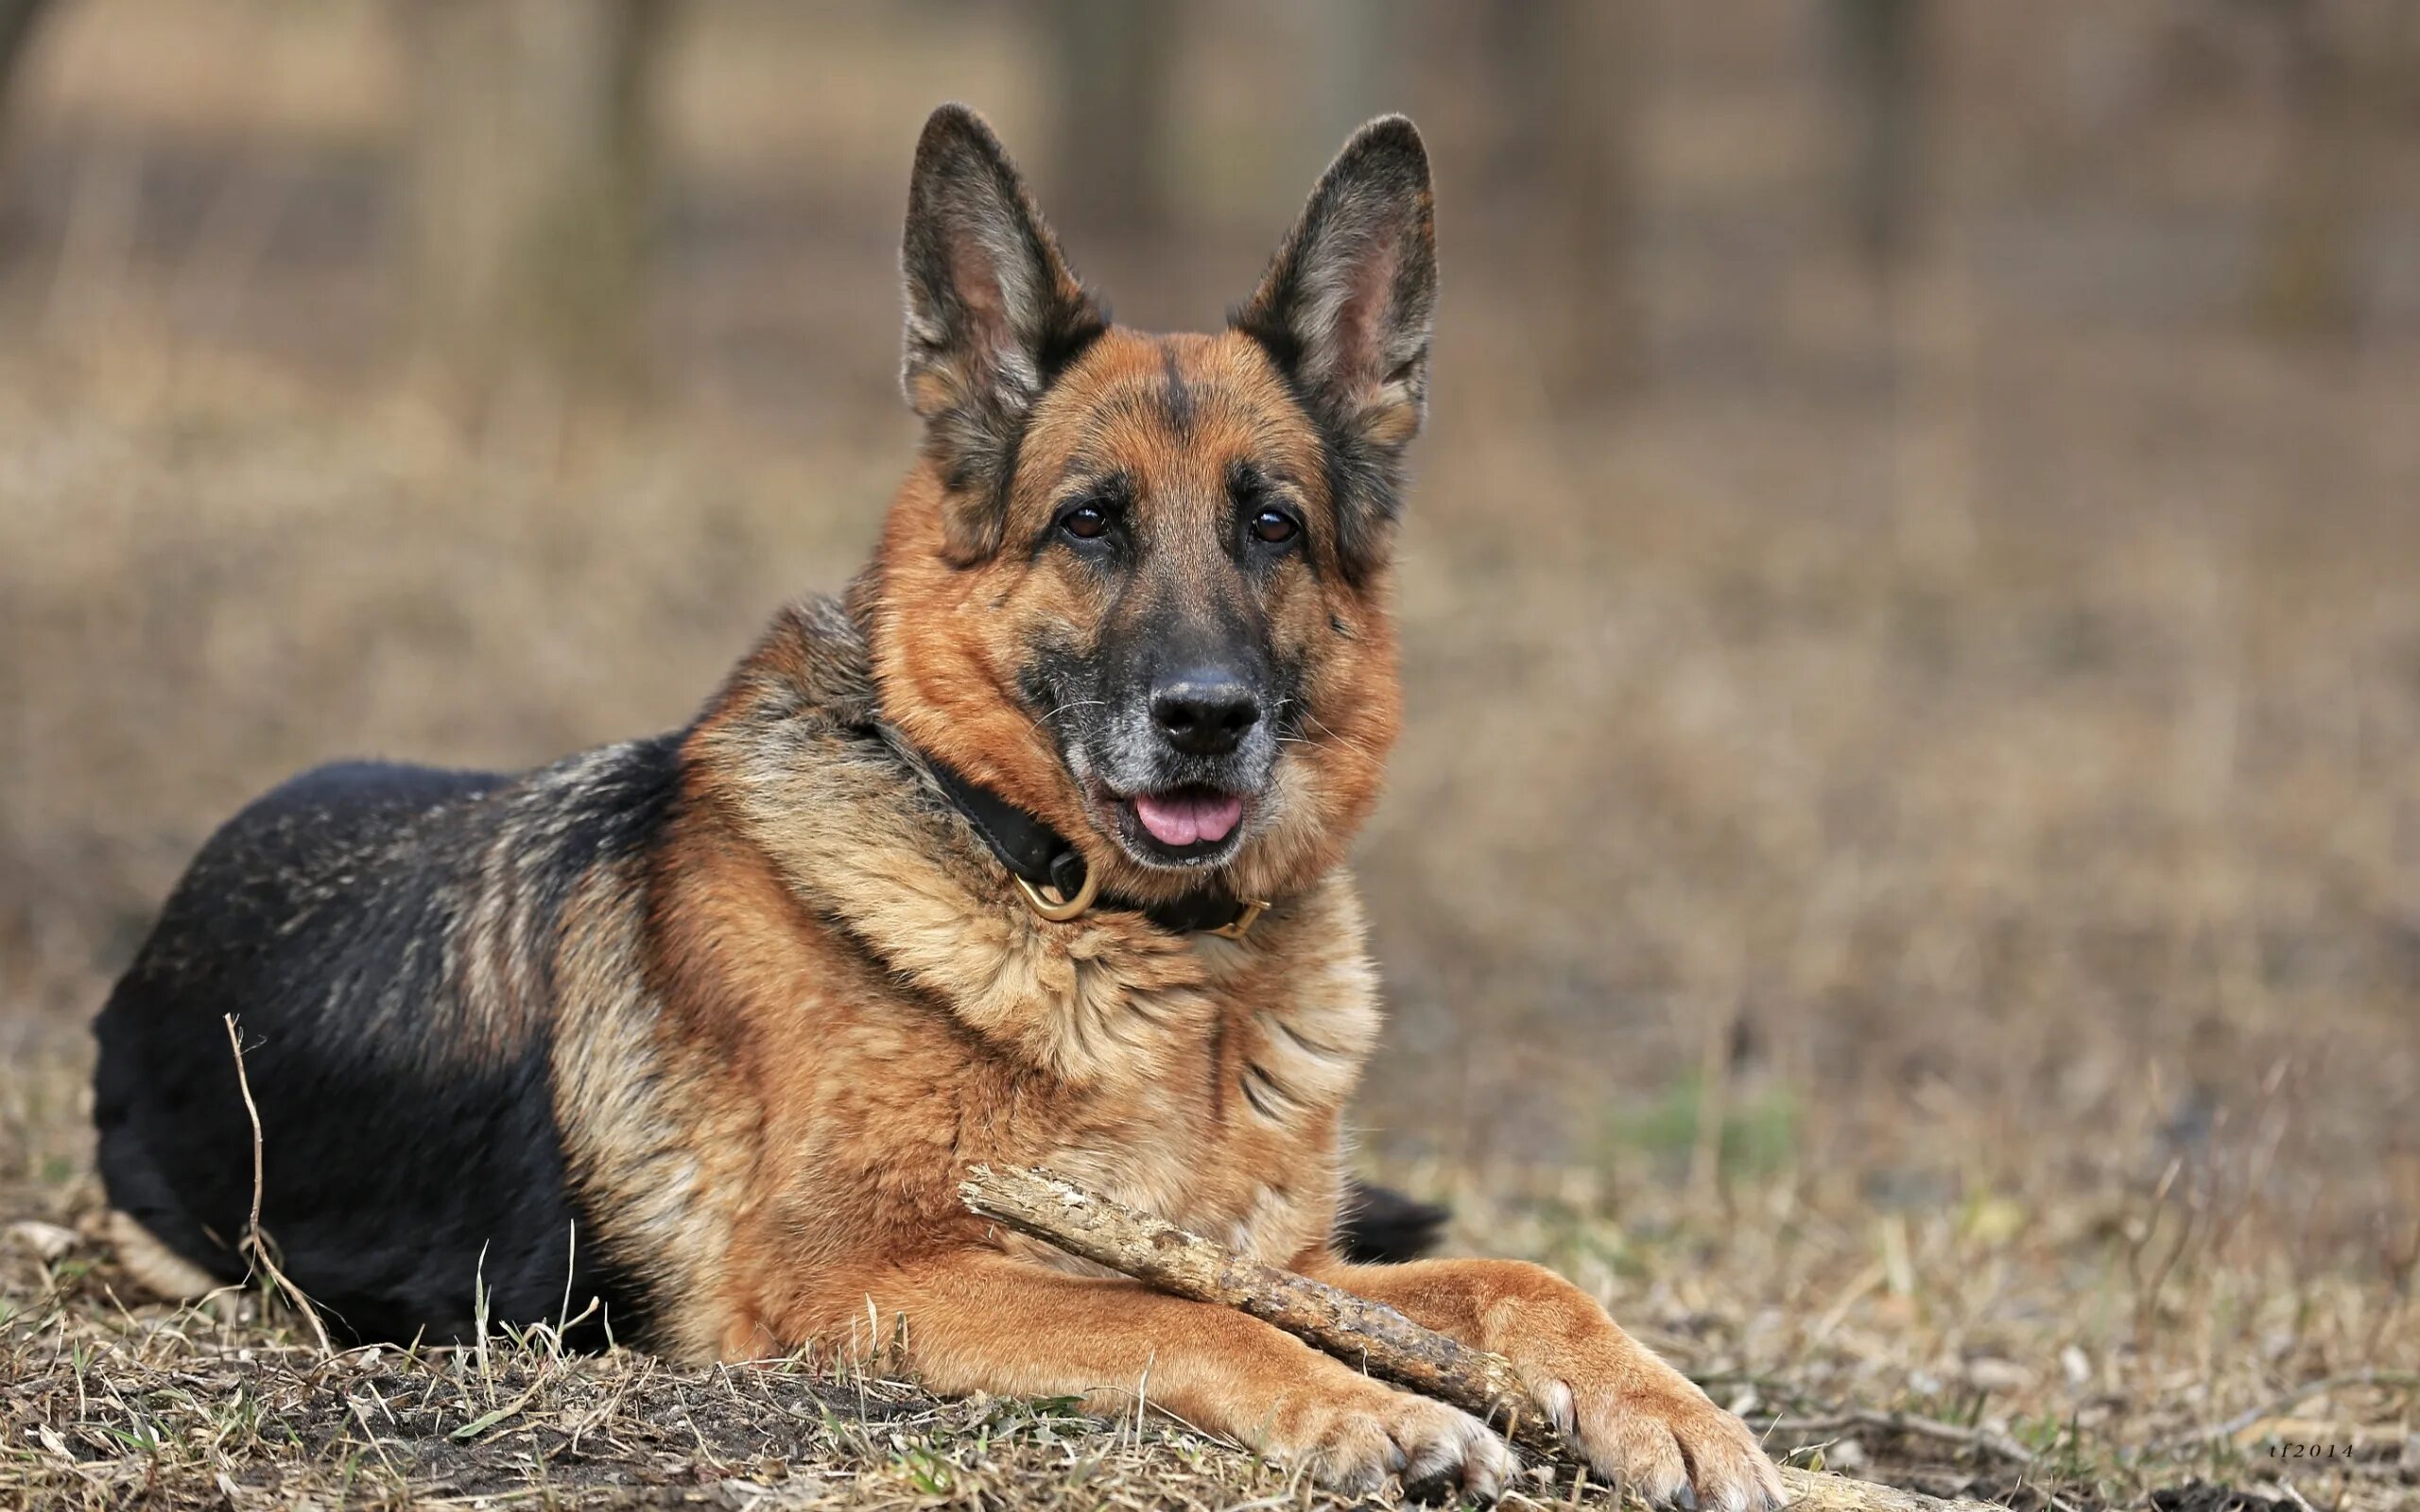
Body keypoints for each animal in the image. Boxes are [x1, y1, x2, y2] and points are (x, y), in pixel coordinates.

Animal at [98, 103, 1781, 1500]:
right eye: (1091, 524)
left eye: (1274, 527)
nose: (1206, 719)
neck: (1096, 922)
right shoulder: (873, 1278)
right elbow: (1177, 1316)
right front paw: (1375, 1413)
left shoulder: (1282, 1252)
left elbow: (1517, 1279)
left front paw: (1677, 1414)